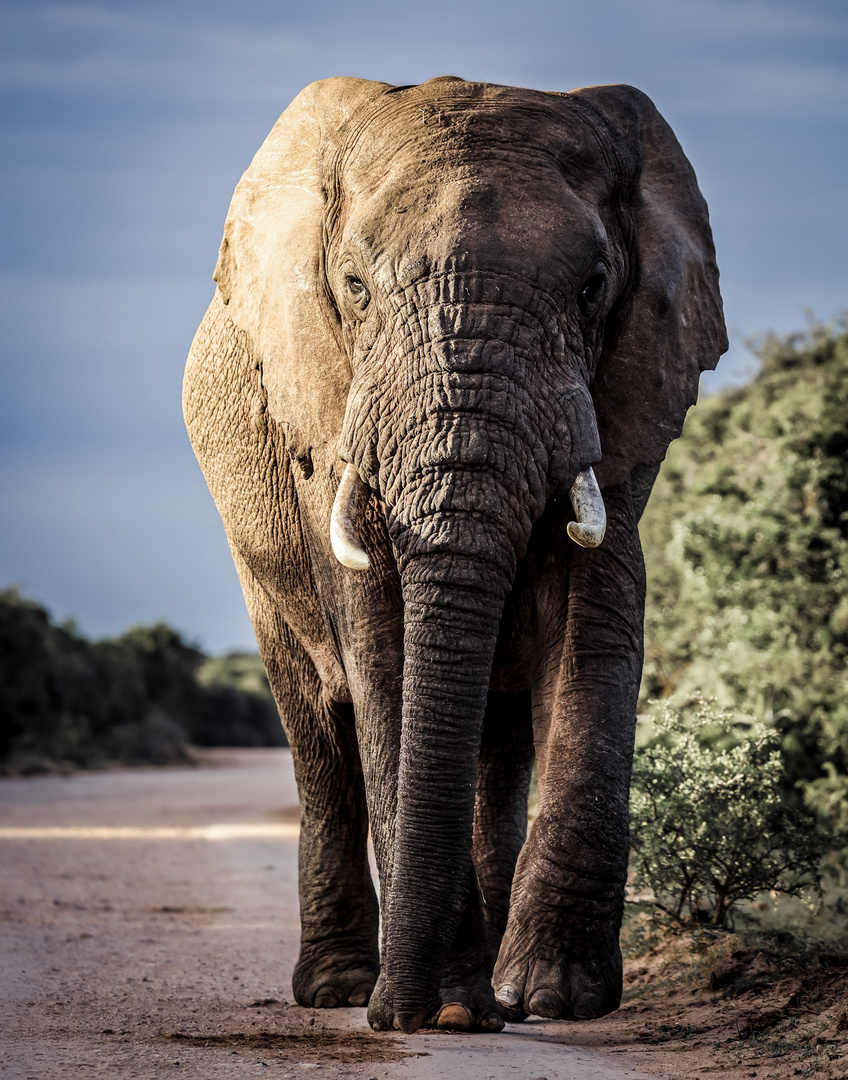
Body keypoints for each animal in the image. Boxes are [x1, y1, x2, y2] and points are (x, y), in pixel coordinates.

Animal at [181, 76, 725, 1036]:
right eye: (354, 289)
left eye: (593, 289)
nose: (394, 1020)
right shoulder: (326, 415)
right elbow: (383, 653)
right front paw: (454, 1008)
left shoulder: (623, 398)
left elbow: (591, 632)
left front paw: (553, 997)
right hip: (256, 551)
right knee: (318, 730)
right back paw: (342, 987)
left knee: (496, 752)